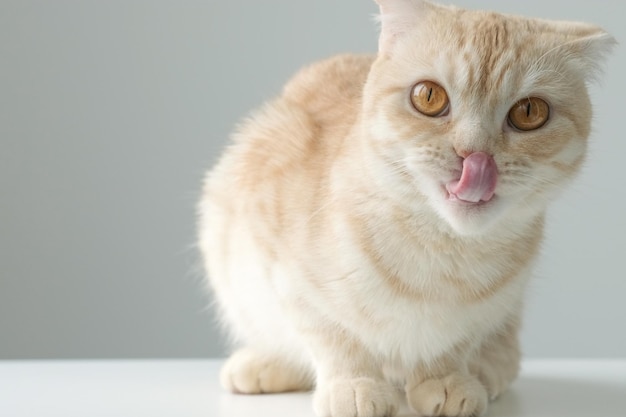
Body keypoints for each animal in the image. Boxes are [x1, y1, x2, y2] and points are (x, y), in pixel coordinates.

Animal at [197, 0, 612, 416]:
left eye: (529, 112)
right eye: (429, 97)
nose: (474, 155)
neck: (444, 252)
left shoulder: (484, 311)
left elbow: (452, 344)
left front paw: (443, 379)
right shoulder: (288, 275)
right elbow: (334, 336)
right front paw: (354, 385)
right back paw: (262, 364)